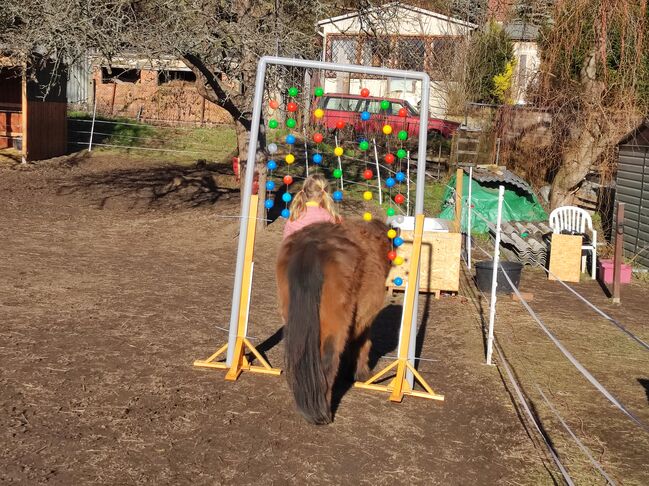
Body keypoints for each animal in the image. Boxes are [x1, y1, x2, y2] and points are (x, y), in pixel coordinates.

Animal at [274, 218, 390, 424]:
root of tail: (310, 246)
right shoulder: (364, 319)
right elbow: (363, 344)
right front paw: (360, 373)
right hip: (334, 326)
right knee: (328, 360)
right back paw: (324, 413)